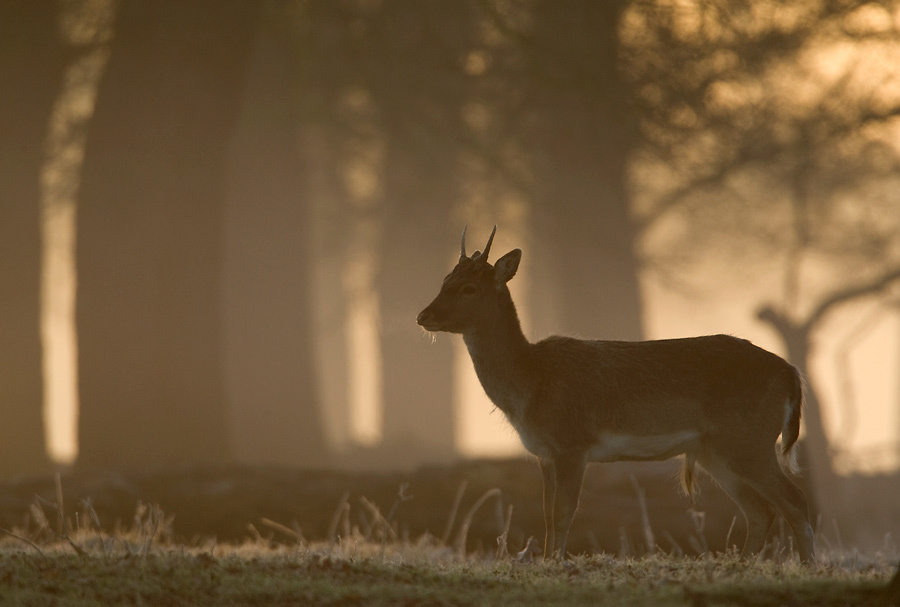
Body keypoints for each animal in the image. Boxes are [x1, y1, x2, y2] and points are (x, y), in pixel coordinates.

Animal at [416, 226, 816, 563]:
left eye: (469, 288)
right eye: (445, 279)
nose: (424, 316)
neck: (532, 382)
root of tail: (790, 373)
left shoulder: (572, 443)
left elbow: (563, 513)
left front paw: (555, 564)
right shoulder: (545, 453)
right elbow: (546, 514)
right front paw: (546, 561)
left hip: (748, 439)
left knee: (795, 501)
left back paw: (807, 566)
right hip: (716, 450)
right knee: (760, 510)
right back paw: (744, 565)